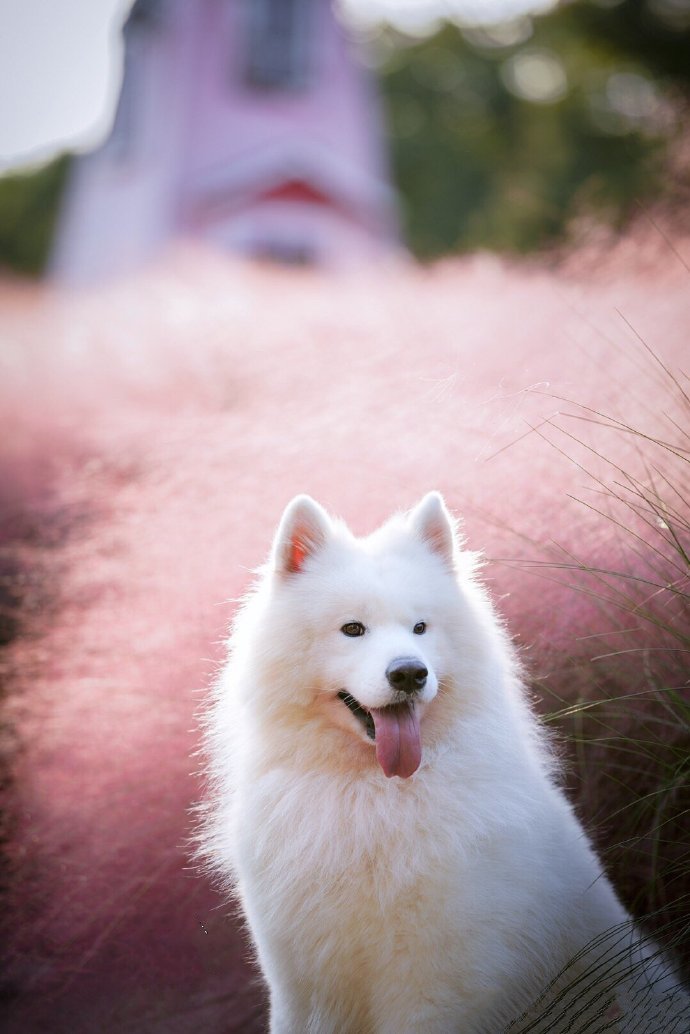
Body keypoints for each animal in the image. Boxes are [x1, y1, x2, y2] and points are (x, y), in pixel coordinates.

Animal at [202, 494, 686, 1034]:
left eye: (420, 627)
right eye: (353, 629)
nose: (410, 673)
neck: (374, 794)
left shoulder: (441, 986)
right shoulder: (303, 987)